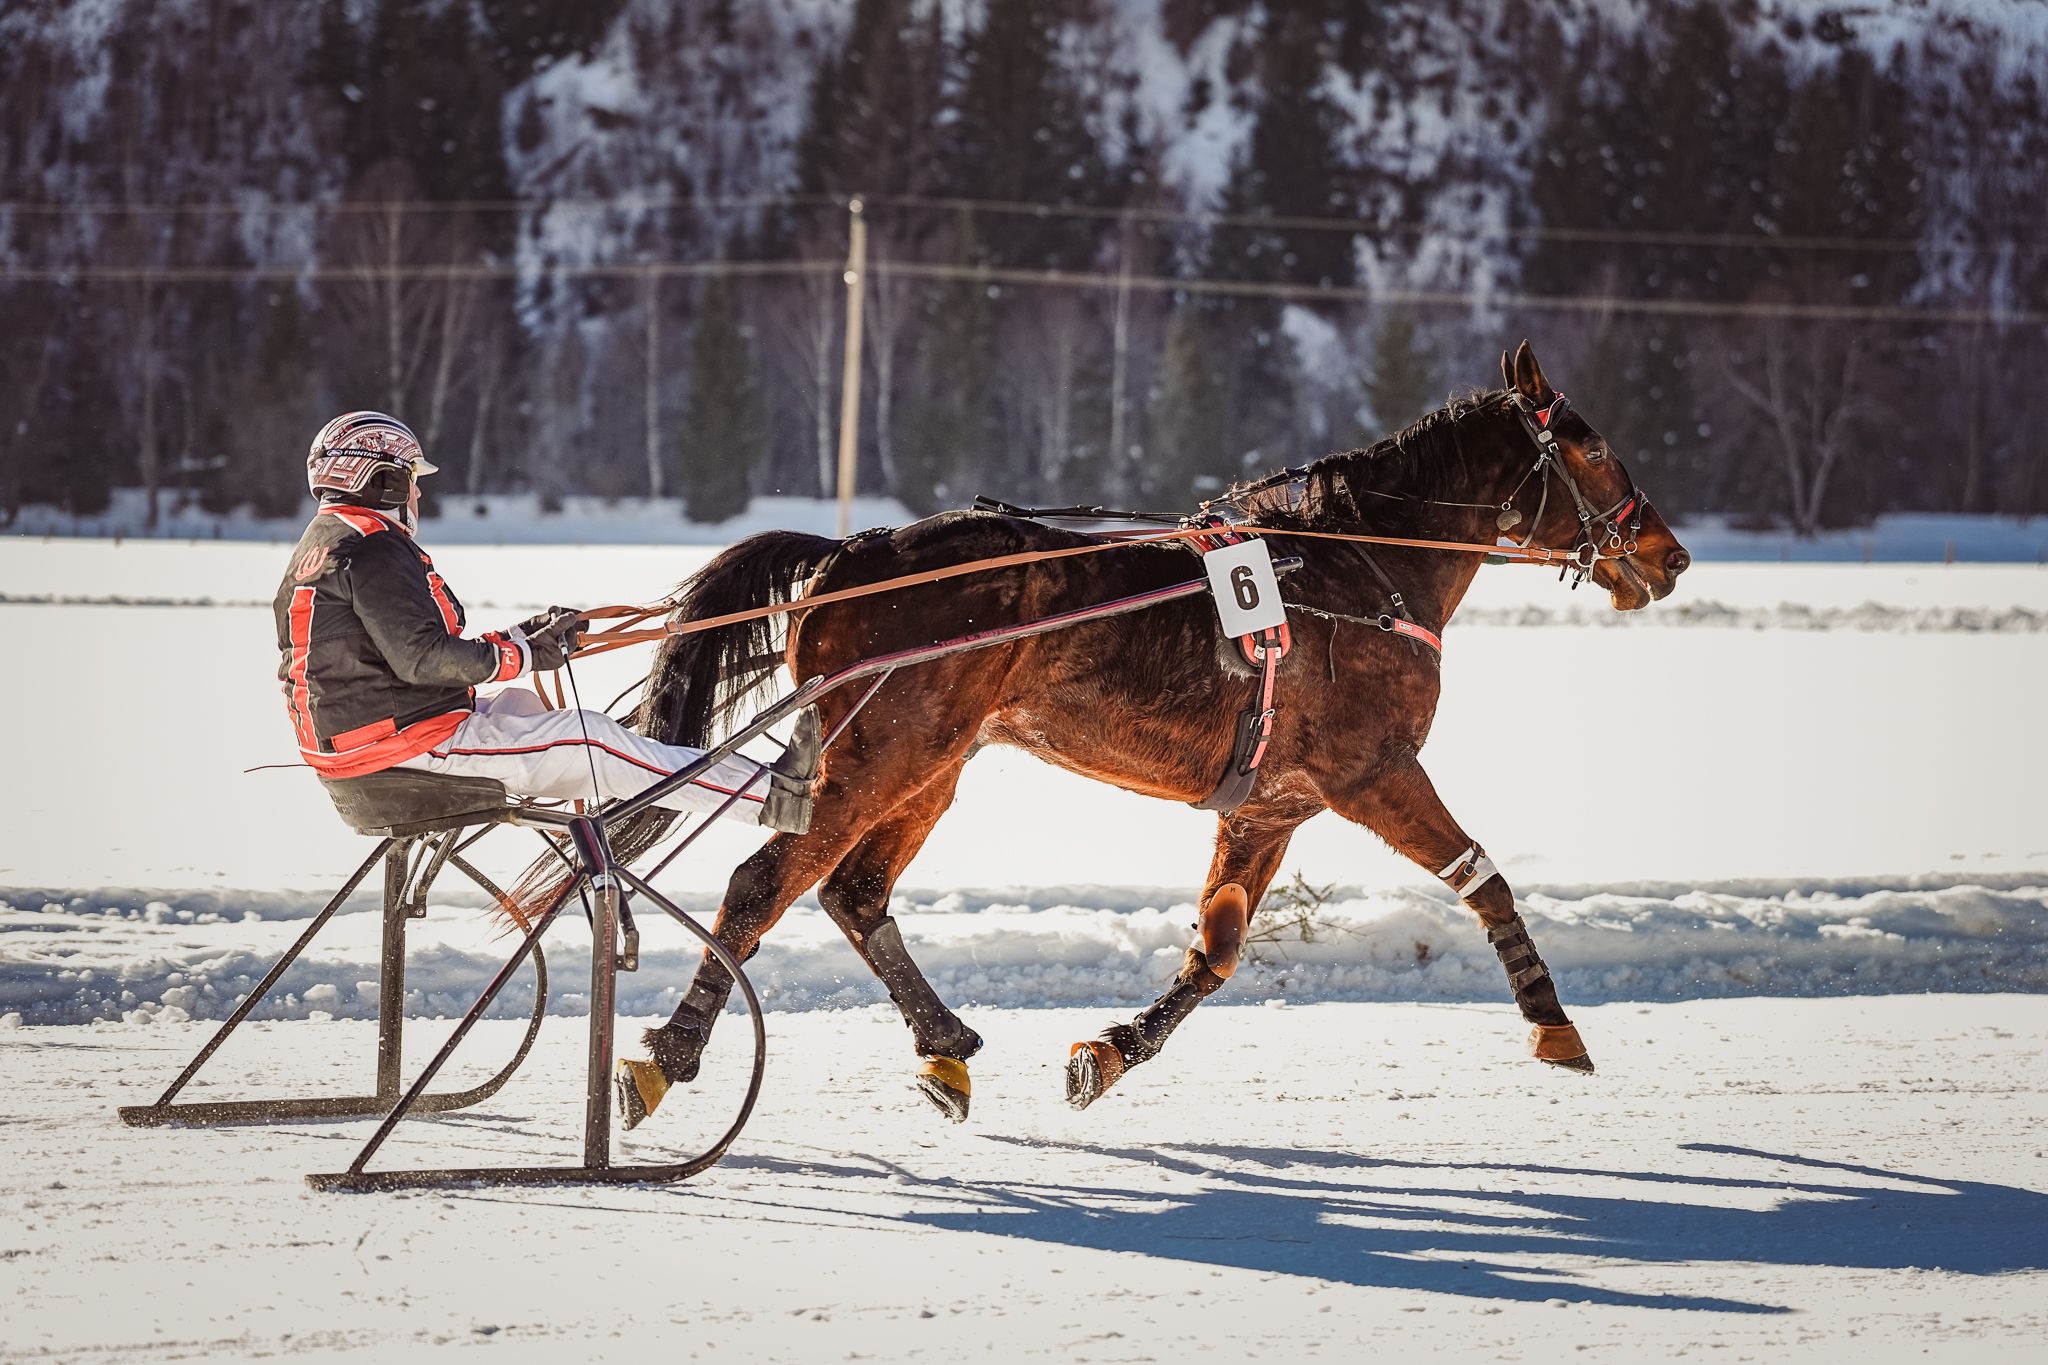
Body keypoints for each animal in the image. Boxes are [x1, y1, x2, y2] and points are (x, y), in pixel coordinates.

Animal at [563, 340, 1691, 1127]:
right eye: (1589, 442)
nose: (1668, 553)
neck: (1359, 570)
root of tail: (853, 552)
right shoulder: (1373, 770)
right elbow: (1483, 878)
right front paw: (1553, 1022)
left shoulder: (1274, 802)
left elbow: (1218, 947)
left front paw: (1106, 1054)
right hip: (885, 746)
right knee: (768, 881)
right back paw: (665, 1057)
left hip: (933, 760)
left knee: (852, 890)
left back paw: (942, 1044)